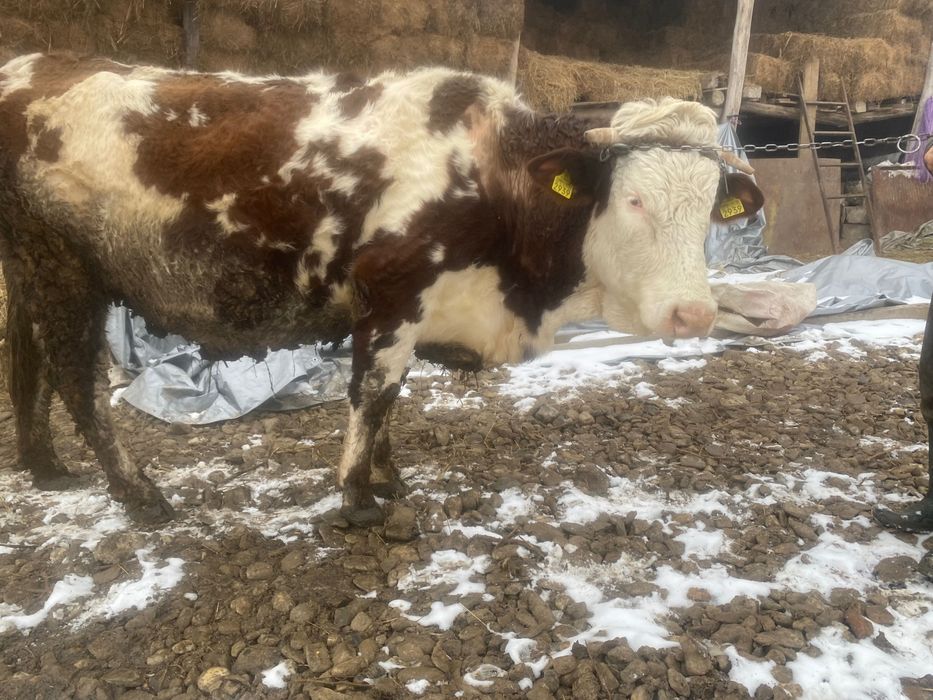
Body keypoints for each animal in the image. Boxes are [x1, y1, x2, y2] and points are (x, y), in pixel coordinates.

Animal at [0, 53, 763, 526]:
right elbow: (374, 392)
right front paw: (359, 497)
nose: (693, 313)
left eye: (709, 206)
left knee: (24, 357)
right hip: (60, 267)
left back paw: (46, 467)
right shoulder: (392, 293)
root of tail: (33, 64)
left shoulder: (418, 308)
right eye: (632, 200)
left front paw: (387, 476)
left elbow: (393, 397)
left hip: (26, 270)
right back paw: (138, 493)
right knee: (72, 377)